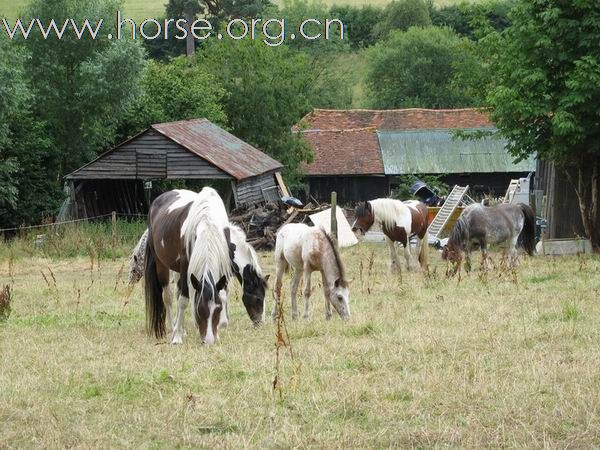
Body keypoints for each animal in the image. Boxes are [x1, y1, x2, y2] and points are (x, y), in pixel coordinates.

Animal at [144, 186, 231, 344]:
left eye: (218, 309)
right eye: (198, 309)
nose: (209, 340)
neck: (207, 222)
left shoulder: (223, 264)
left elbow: (222, 294)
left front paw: (219, 331)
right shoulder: (186, 266)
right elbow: (183, 301)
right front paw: (177, 337)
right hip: (162, 265)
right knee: (168, 297)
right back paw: (172, 329)